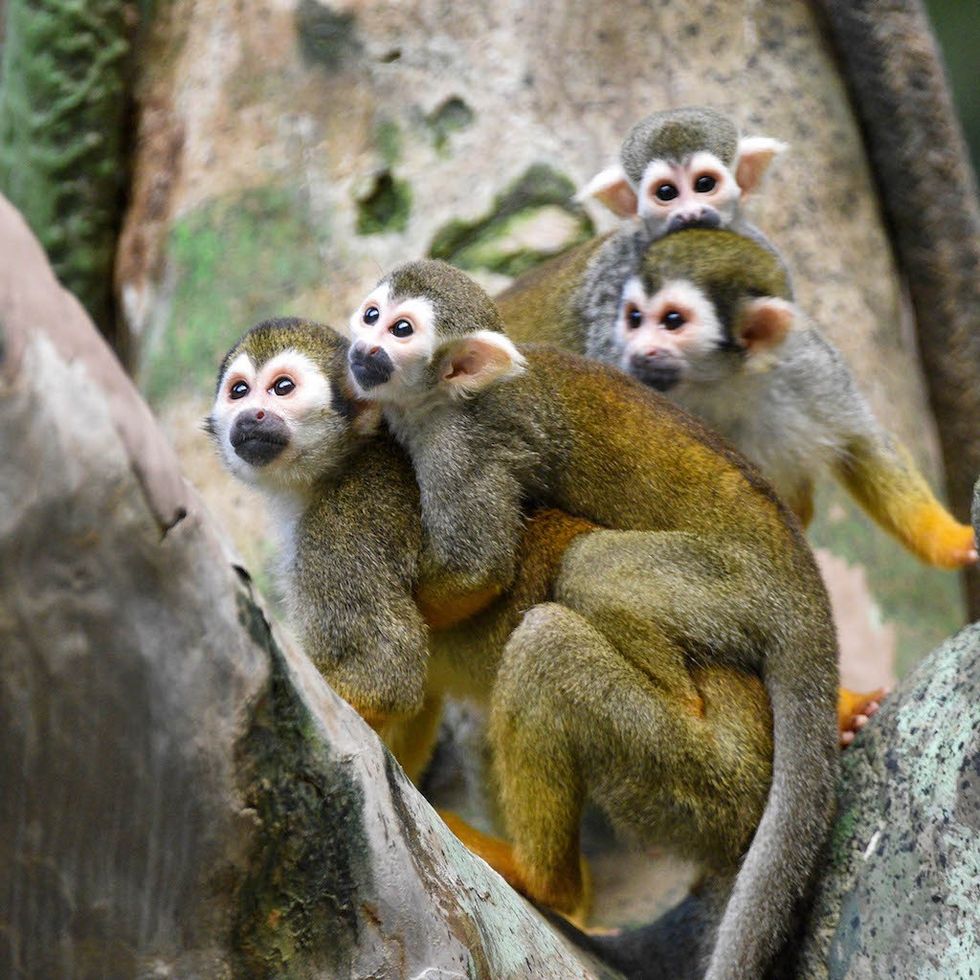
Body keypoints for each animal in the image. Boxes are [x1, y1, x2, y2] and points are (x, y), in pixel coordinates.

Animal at [346, 257, 840, 979]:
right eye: (372, 314)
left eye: (401, 330)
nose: (362, 347)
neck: (442, 401)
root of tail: (809, 593)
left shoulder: (466, 447)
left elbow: (477, 568)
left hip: (740, 590)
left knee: (583, 584)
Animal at [495, 227, 978, 570]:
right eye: (633, 318)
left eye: (672, 320)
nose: (636, 350)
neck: (727, 382)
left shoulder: (809, 367)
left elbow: (863, 446)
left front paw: (955, 542)